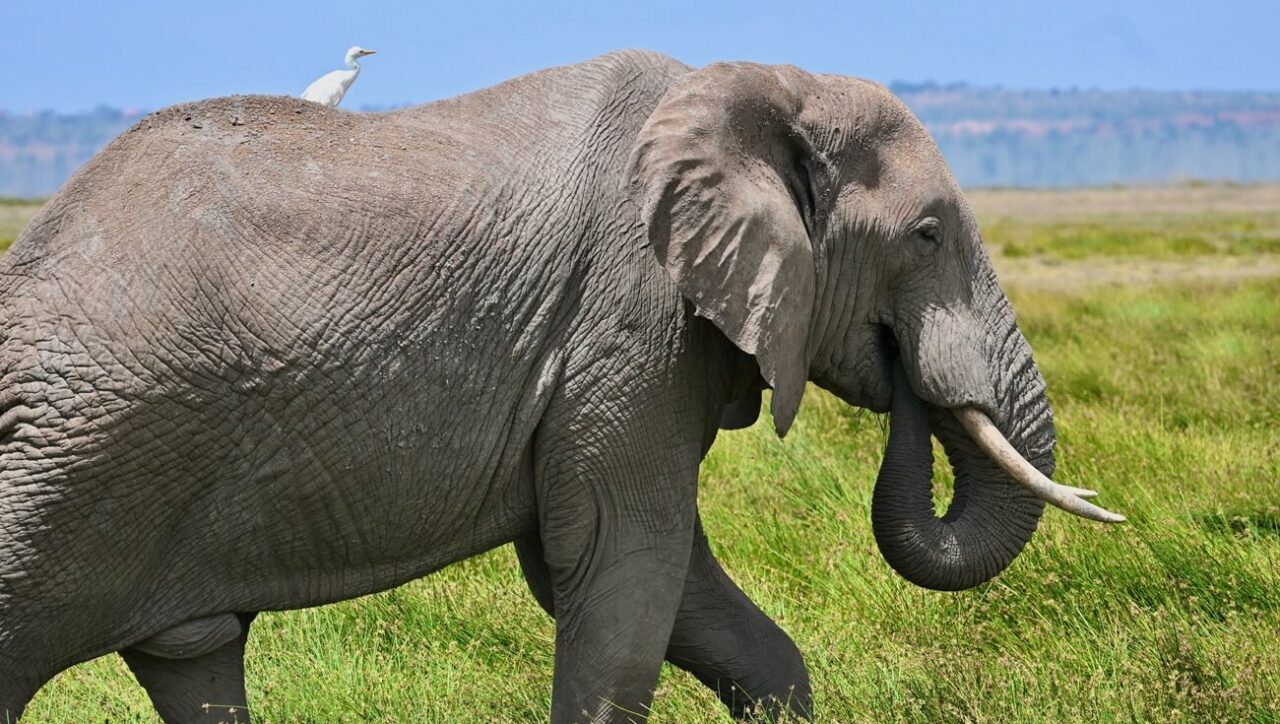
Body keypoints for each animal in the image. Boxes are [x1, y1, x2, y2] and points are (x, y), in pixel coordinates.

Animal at [0, 50, 1121, 722]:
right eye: (926, 234)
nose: (906, 376)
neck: (754, 84)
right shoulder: (628, 317)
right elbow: (619, 562)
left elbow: (672, 593)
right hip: (66, 467)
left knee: (194, 657)